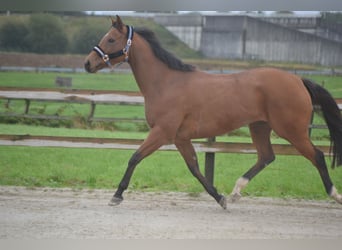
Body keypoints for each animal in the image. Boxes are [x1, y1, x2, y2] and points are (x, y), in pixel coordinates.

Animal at [85, 15, 342, 209]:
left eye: (111, 39)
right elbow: (195, 168)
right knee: (266, 157)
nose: (88, 63)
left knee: (317, 156)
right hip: (259, 126)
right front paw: (220, 198)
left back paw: (334, 194)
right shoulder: (180, 138)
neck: (167, 82)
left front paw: (116, 195)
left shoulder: (162, 132)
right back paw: (236, 191)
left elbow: (135, 157)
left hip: (292, 130)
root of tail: (298, 80)